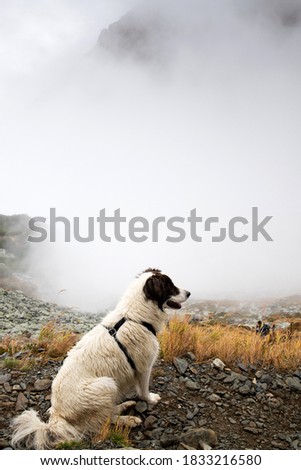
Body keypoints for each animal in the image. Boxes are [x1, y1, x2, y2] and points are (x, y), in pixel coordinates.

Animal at [12, 268, 190, 448]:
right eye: (170, 286)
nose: (189, 293)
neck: (136, 318)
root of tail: (57, 415)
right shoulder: (144, 367)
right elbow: (144, 391)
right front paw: (151, 399)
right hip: (107, 384)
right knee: (105, 420)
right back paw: (129, 419)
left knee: (107, 413)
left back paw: (124, 406)